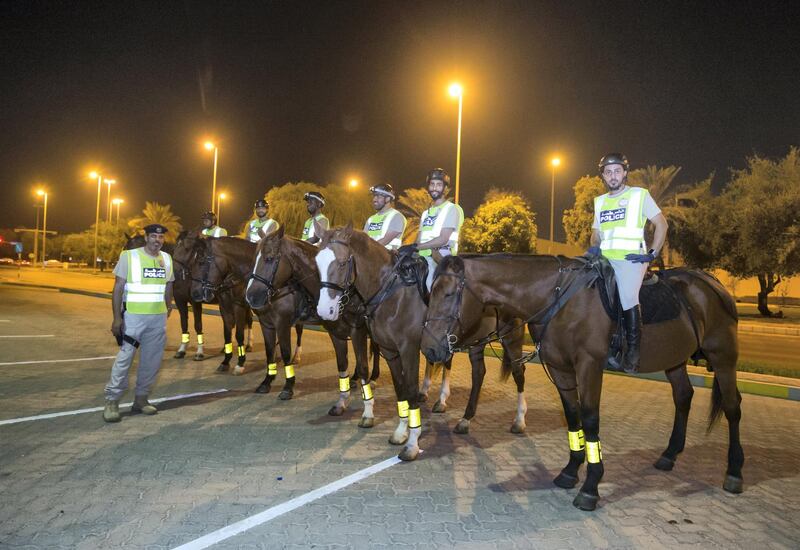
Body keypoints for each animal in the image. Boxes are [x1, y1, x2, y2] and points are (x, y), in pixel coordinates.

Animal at [245, 226, 380, 420]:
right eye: (253, 259)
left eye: (269, 258)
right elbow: (270, 351)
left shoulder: (282, 323)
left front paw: (288, 387)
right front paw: (266, 382)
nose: (251, 296)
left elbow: (285, 353)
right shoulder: (266, 323)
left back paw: (374, 378)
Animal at [316, 226, 528, 464]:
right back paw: (465, 419)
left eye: (342, 263)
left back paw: (519, 420)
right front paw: (401, 432)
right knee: (478, 373)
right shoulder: (390, 351)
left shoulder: (408, 350)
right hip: (476, 342)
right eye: (317, 262)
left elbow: (410, 390)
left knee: (519, 372)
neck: (393, 295)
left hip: (511, 338)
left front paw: (412, 443)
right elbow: (400, 389)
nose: (325, 310)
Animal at [422, 256, 740, 516]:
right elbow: (572, 415)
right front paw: (570, 471)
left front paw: (590, 487)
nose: (430, 348)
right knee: (683, 396)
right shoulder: (561, 369)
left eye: (448, 293)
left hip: (723, 356)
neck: (558, 298)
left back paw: (734, 472)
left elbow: (590, 420)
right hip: (674, 359)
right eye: (430, 293)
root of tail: (710, 282)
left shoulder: (589, 367)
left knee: (732, 406)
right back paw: (669, 454)